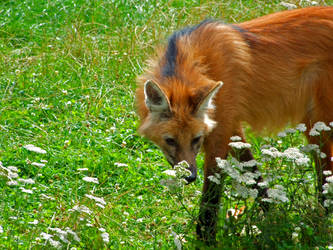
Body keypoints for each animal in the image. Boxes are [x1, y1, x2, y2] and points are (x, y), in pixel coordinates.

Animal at [135, 6, 332, 243]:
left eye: (196, 139)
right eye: (170, 140)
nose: (190, 177)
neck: (199, 63)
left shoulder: (221, 132)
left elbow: (212, 191)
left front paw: (206, 239)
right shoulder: (232, 129)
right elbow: (255, 177)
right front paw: (273, 216)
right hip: (314, 125)